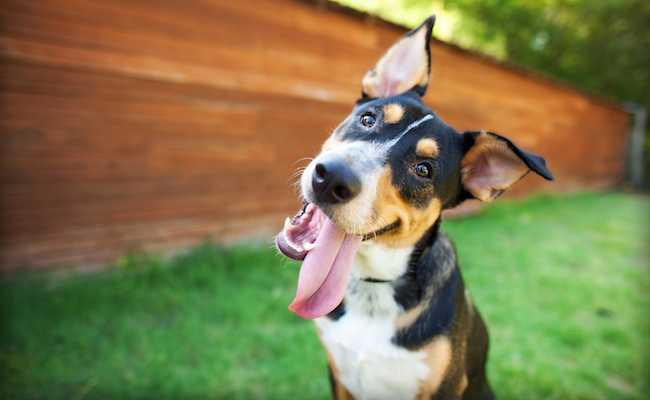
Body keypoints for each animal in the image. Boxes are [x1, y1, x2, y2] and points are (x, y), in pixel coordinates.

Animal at [274, 16, 552, 400]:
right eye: (368, 119)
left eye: (423, 169)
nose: (330, 178)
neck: (374, 290)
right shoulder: (338, 374)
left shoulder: (445, 387)